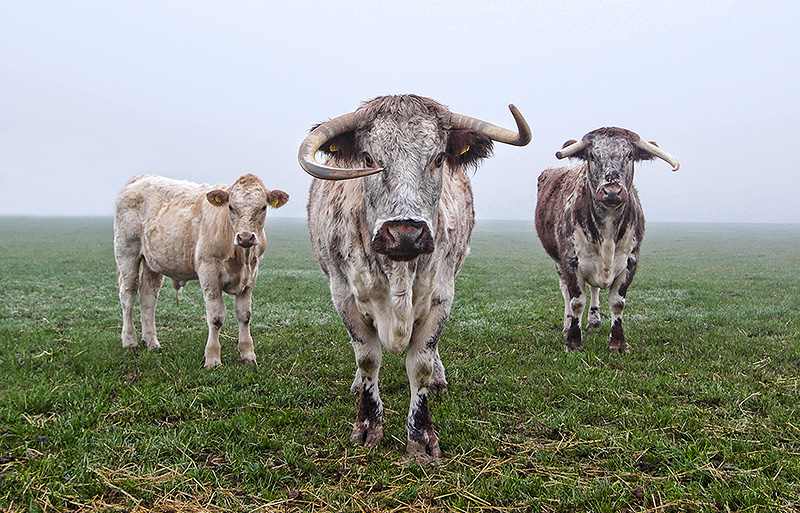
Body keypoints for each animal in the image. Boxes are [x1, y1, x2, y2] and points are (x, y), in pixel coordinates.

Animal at [112, 174, 288, 366]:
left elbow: (244, 315)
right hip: (126, 251)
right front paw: (212, 358)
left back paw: (152, 342)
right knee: (128, 295)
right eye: (231, 206)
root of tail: (140, 178)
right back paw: (129, 340)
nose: (245, 237)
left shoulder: (250, 276)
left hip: (153, 262)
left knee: (148, 298)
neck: (240, 256)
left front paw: (248, 353)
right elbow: (216, 317)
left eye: (263, 207)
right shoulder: (209, 271)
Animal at [300, 94, 532, 462]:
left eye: (438, 158)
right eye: (368, 158)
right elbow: (367, 358)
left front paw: (421, 438)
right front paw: (367, 427)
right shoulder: (344, 297)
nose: (405, 235)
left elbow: (420, 364)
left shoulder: (441, 297)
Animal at [536, 127, 680, 352]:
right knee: (566, 292)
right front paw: (573, 341)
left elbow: (617, 302)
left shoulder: (631, 261)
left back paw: (594, 320)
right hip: (557, 260)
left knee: (594, 288)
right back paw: (567, 323)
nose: (612, 192)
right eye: (592, 156)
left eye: (630, 155)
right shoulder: (570, 261)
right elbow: (577, 300)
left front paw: (618, 343)